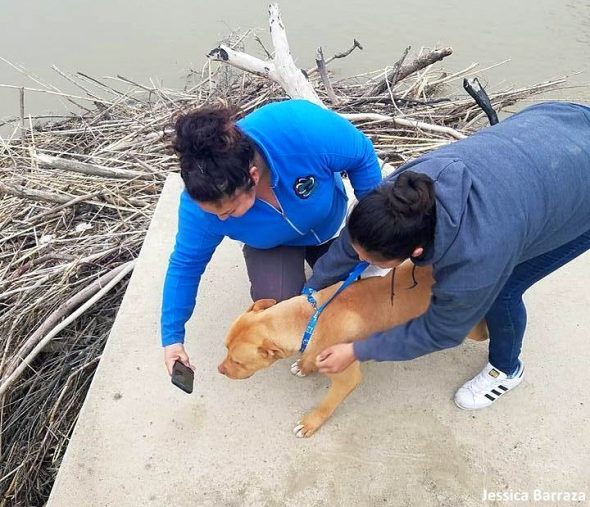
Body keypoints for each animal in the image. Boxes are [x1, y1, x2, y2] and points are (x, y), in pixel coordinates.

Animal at [220, 262, 488, 436]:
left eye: (238, 362)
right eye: (226, 349)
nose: (220, 370)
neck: (309, 319)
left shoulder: (346, 378)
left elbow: (327, 404)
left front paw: (311, 423)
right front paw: (305, 365)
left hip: (469, 327)